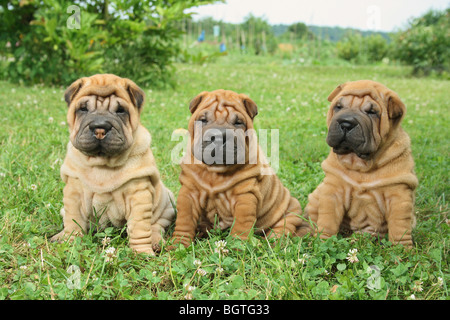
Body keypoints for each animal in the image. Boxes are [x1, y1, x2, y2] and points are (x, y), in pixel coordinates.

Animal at [50, 74, 174, 254]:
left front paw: (142, 252)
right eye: (83, 109)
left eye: (120, 110)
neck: (102, 163)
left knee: (156, 225)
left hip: (167, 204)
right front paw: (70, 242)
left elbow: (139, 228)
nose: (100, 127)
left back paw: (156, 241)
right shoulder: (74, 193)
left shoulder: (139, 195)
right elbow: (73, 220)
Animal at [171, 90, 304, 248]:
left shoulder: (245, 196)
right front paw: (178, 244)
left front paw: (237, 246)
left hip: (291, 210)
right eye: (203, 120)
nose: (219, 136)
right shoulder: (189, 193)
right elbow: (185, 220)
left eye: (238, 123)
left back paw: (273, 240)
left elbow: (241, 224)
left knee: (284, 227)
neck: (215, 172)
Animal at [304, 80, 420, 248]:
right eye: (338, 107)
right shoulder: (333, 190)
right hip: (315, 196)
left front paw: (402, 249)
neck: (360, 165)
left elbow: (399, 226)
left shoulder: (399, 195)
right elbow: (327, 219)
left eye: (372, 112)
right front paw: (323, 241)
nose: (346, 123)